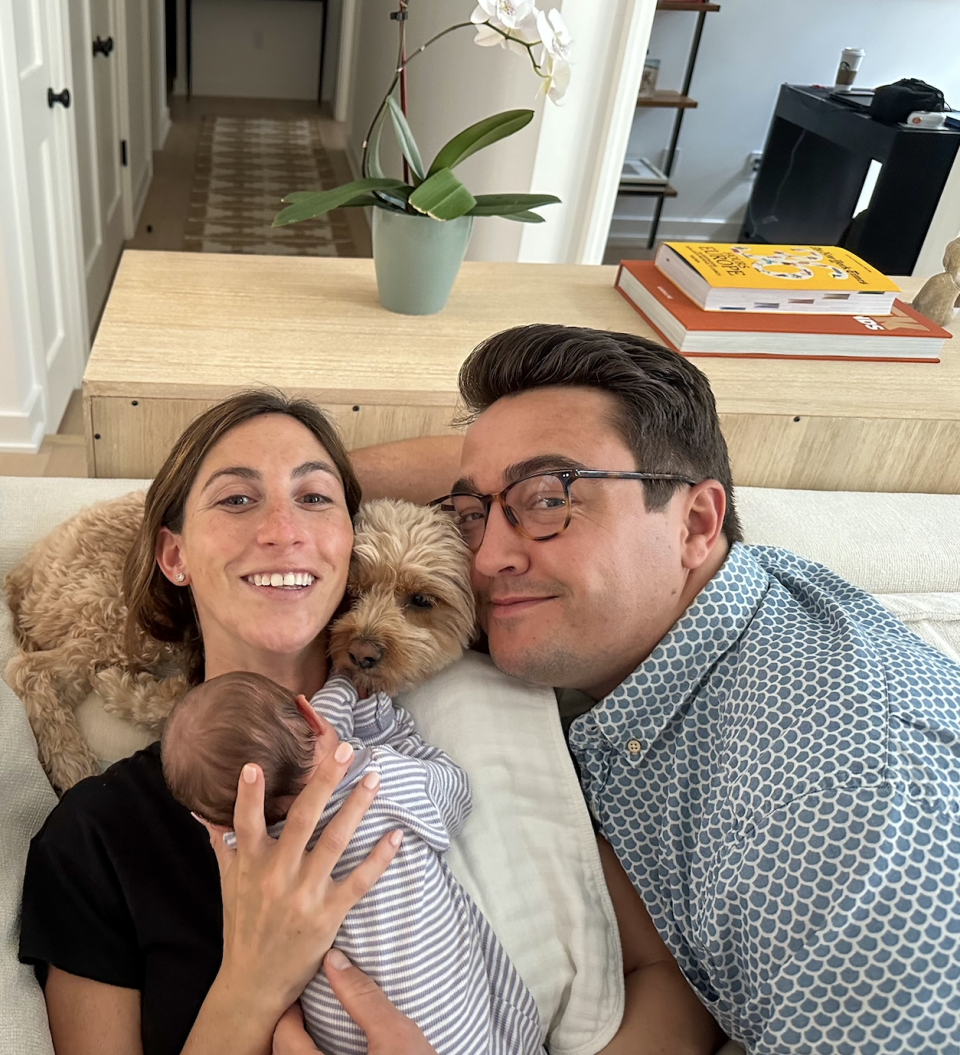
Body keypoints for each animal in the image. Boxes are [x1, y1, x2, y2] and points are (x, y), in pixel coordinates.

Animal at [3, 493, 476, 793]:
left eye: (421, 601)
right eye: (351, 594)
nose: (363, 654)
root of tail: (27, 570)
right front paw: (127, 691)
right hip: (123, 621)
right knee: (27, 670)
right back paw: (71, 762)